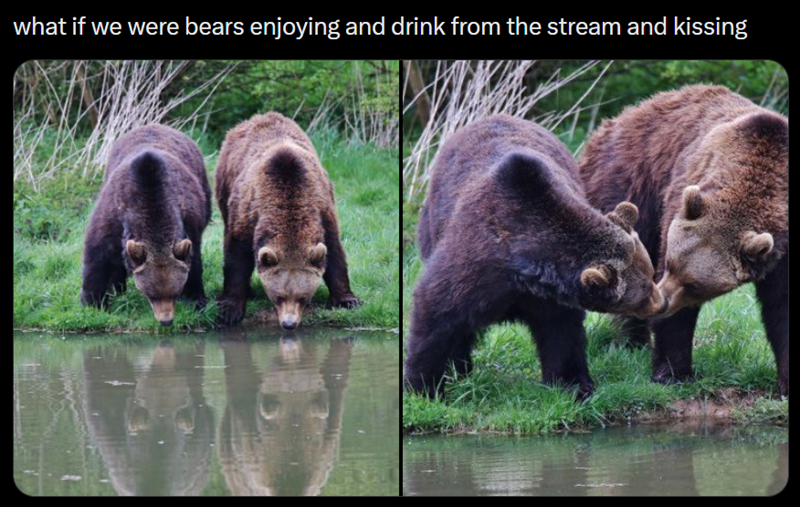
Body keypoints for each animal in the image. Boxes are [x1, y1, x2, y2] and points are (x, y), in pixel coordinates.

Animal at [80, 124, 211, 326]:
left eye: (174, 292)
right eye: (151, 295)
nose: (166, 320)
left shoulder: (189, 221)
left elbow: (194, 262)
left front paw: (196, 301)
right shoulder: (112, 217)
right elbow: (97, 259)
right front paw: (92, 304)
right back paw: (118, 288)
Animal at [215, 112, 361, 329]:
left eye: (303, 297)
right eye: (278, 296)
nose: (289, 324)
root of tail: (259, 117)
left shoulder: (323, 211)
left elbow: (335, 253)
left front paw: (348, 300)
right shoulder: (247, 214)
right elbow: (236, 257)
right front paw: (230, 310)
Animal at [404, 114, 667, 399]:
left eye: (650, 273)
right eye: (644, 289)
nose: (662, 303)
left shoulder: (551, 296)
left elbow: (561, 332)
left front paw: (574, 384)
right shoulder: (474, 262)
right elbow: (437, 311)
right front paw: (423, 387)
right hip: (432, 222)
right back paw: (460, 367)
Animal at [579, 85, 788, 396]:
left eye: (694, 284)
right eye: (669, 264)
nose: (662, 301)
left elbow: (782, 306)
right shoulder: (679, 194)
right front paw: (673, 373)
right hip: (629, 184)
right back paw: (633, 341)